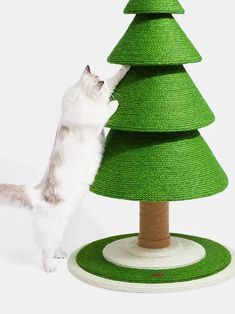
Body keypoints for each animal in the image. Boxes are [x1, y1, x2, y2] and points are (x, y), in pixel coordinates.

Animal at [0, 65, 130, 272]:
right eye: (100, 87)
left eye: (100, 77)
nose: (107, 94)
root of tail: (35, 193)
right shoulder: (96, 119)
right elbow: (106, 110)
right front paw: (114, 102)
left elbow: (115, 77)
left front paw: (126, 68)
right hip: (53, 229)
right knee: (45, 251)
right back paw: (51, 266)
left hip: (62, 225)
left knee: (54, 246)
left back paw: (60, 254)